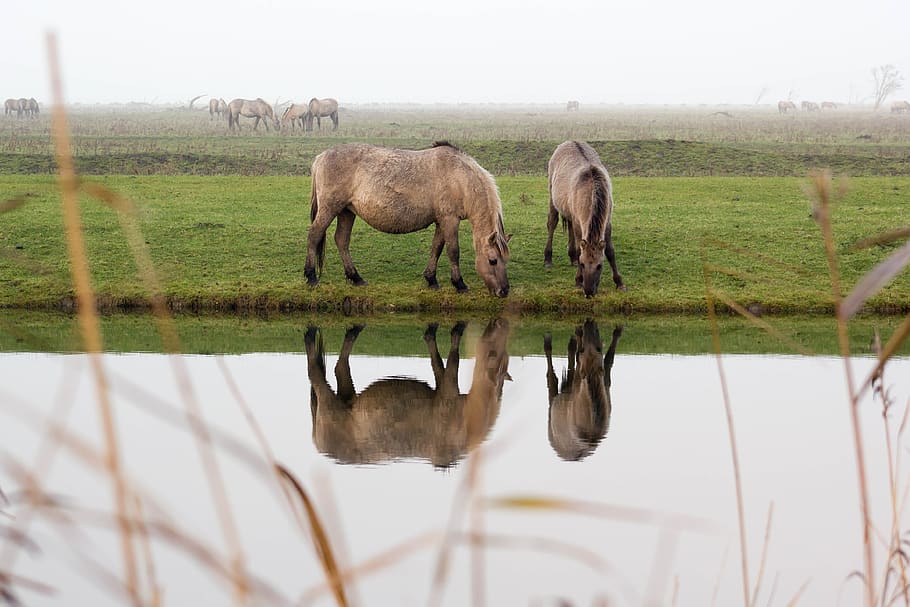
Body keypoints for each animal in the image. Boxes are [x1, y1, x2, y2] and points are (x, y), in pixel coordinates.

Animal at [305, 141, 512, 296]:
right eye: (493, 260)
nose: (504, 291)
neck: (460, 177)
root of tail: (321, 157)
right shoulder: (450, 220)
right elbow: (453, 251)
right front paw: (459, 284)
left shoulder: (441, 221)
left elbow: (436, 248)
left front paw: (431, 280)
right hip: (330, 209)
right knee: (314, 235)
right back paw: (311, 277)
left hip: (346, 212)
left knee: (341, 240)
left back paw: (356, 278)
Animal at [306, 320, 511, 468]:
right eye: (493, 353)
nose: (500, 324)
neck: (465, 424)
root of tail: (318, 444)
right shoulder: (448, 389)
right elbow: (454, 356)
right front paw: (456, 330)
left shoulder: (442, 387)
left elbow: (436, 361)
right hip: (328, 400)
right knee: (315, 372)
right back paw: (310, 333)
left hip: (346, 397)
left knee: (340, 367)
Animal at [545, 141, 625, 297]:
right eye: (583, 264)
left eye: (599, 266)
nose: (588, 292)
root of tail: (568, 142)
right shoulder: (578, 223)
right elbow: (579, 249)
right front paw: (578, 280)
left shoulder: (607, 222)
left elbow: (610, 251)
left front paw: (619, 282)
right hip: (552, 196)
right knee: (552, 223)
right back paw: (548, 258)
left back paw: (571, 258)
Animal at [545, 322, 622, 461]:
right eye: (583, 350)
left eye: (599, 348)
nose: (589, 323)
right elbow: (609, 359)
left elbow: (609, 359)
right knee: (552, 375)